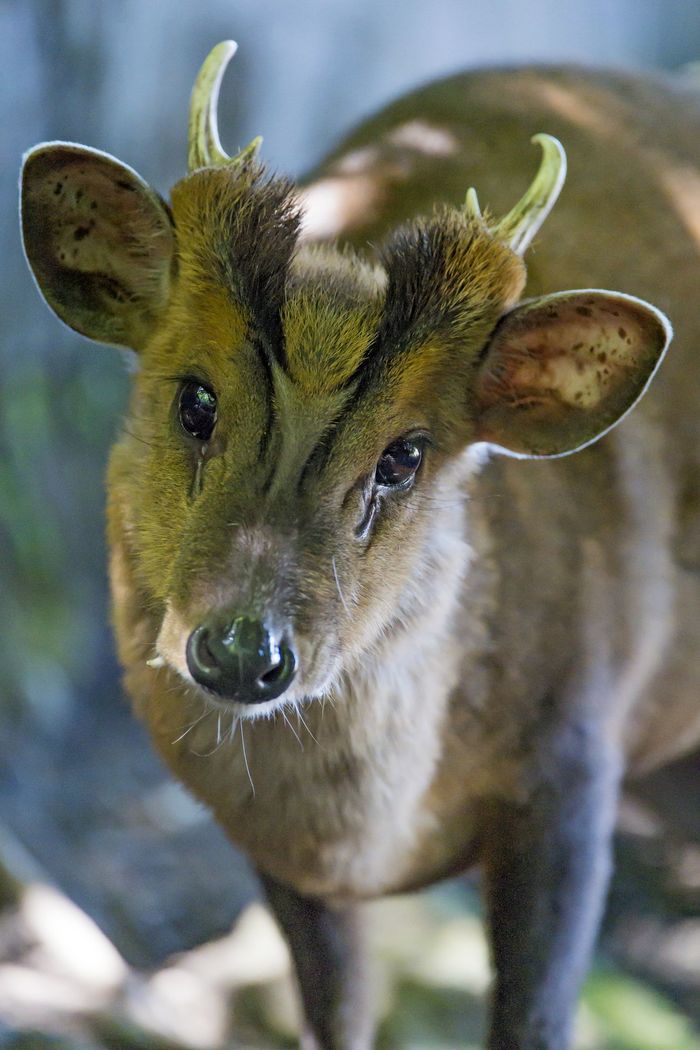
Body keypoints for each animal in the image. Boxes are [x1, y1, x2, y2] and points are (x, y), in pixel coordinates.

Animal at [19, 38, 700, 1050]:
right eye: (196, 399)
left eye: (405, 454)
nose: (241, 649)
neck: (378, 840)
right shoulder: (276, 849)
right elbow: (333, 1019)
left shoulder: (576, 755)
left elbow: (537, 1020)